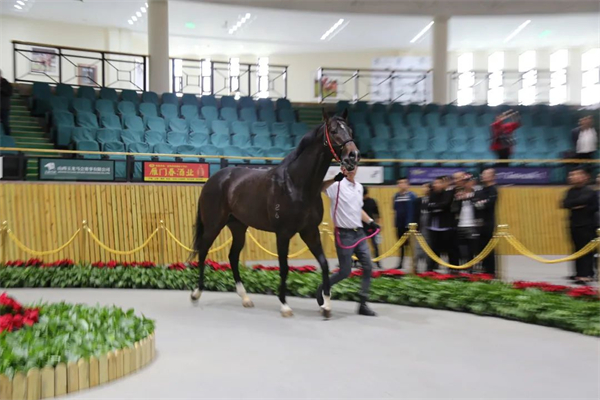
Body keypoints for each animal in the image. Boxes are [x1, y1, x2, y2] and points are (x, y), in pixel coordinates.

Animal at [190, 109, 359, 317]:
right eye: (334, 130)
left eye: (349, 130)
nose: (353, 156)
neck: (297, 184)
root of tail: (213, 179)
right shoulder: (283, 234)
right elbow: (284, 268)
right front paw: (285, 306)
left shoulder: (310, 232)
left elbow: (324, 263)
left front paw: (326, 305)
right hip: (214, 225)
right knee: (203, 251)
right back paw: (196, 293)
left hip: (238, 227)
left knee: (233, 256)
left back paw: (245, 298)